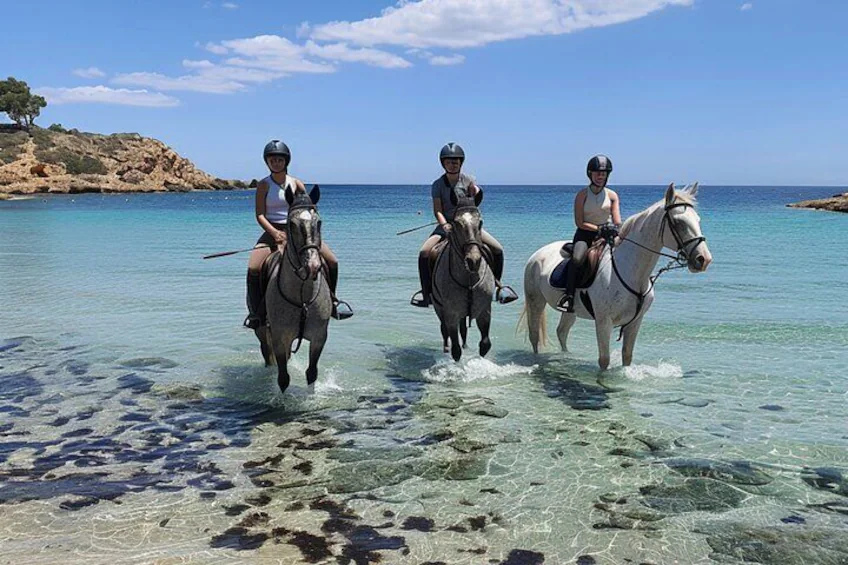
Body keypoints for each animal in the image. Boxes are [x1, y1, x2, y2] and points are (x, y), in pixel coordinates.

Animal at [255, 186, 332, 392]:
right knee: (267, 356)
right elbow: (283, 378)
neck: (302, 298)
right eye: (292, 224)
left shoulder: (319, 337)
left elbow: (311, 372)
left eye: (319, 222)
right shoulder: (279, 337)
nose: (312, 266)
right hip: (262, 331)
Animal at [431, 190, 496, 361]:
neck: (468, 278)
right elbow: (455, 349)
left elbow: (485, 343)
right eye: (456, 223)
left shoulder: (485, 310)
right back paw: (446, 348)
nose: (473, 260)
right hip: (439, 308)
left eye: (480, 223)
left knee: (463, 331)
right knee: (444, 331)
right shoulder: (451, 313)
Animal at [521, 183, 712, 370]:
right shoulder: (604, 322)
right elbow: (604, 361)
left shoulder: (635, 322)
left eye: (698, 220)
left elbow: (627, 356)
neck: (630, 272)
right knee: (534, 335)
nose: (704, 259)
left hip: (570, 311)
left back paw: (566, 357)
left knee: (561, 332)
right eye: (679, 222)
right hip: (536, 301)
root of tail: (538, 255)